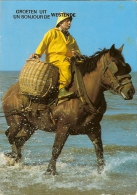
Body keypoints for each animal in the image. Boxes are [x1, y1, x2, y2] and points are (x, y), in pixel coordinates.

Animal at [2, 44, 135, 175]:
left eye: (127, 67)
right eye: (116, 67)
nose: (131, 91)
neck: (81, 95)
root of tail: (9, 92)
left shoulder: (94, 128)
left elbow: (99, 150)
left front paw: (100, 171)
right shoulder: (63, 127)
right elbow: (56, 149)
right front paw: (50, 171)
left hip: (30, 126)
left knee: (19, 140)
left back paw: (17, 159)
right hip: (16, 121)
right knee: (10, 136)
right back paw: (13, 156)